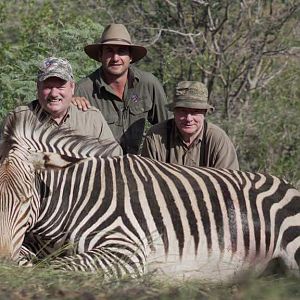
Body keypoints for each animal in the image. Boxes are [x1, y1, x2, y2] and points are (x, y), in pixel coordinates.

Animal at [0, 111, 300, 280]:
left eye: (26, 200)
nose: (3, 264)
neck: (76, 199)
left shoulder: (126, 250)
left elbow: (55, 267)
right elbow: (33, 258)